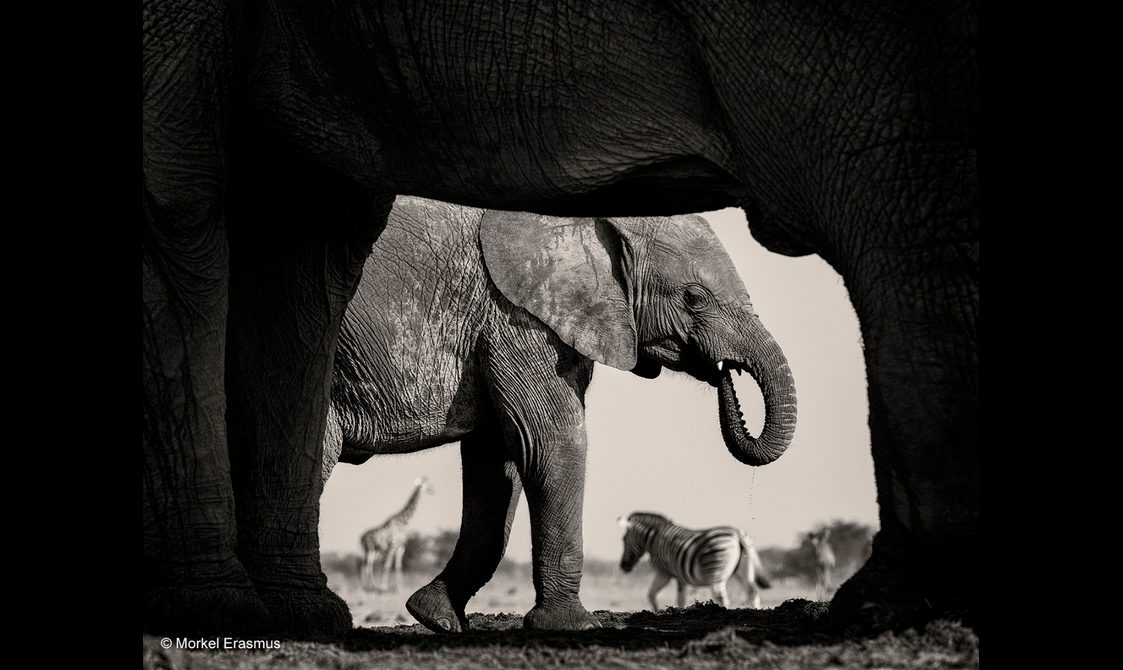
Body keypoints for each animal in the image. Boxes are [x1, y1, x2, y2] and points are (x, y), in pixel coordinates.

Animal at [617, 511, 771, 611]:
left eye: (624, 540)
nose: (623, 567)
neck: (655, 538)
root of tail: (737, 534)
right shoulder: (681, 578)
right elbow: (680, 599)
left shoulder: (664, 572)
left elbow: (651, 594)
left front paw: (655, 612)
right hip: (743, 570)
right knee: (752, 592)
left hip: (715, 569)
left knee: (722, 598)